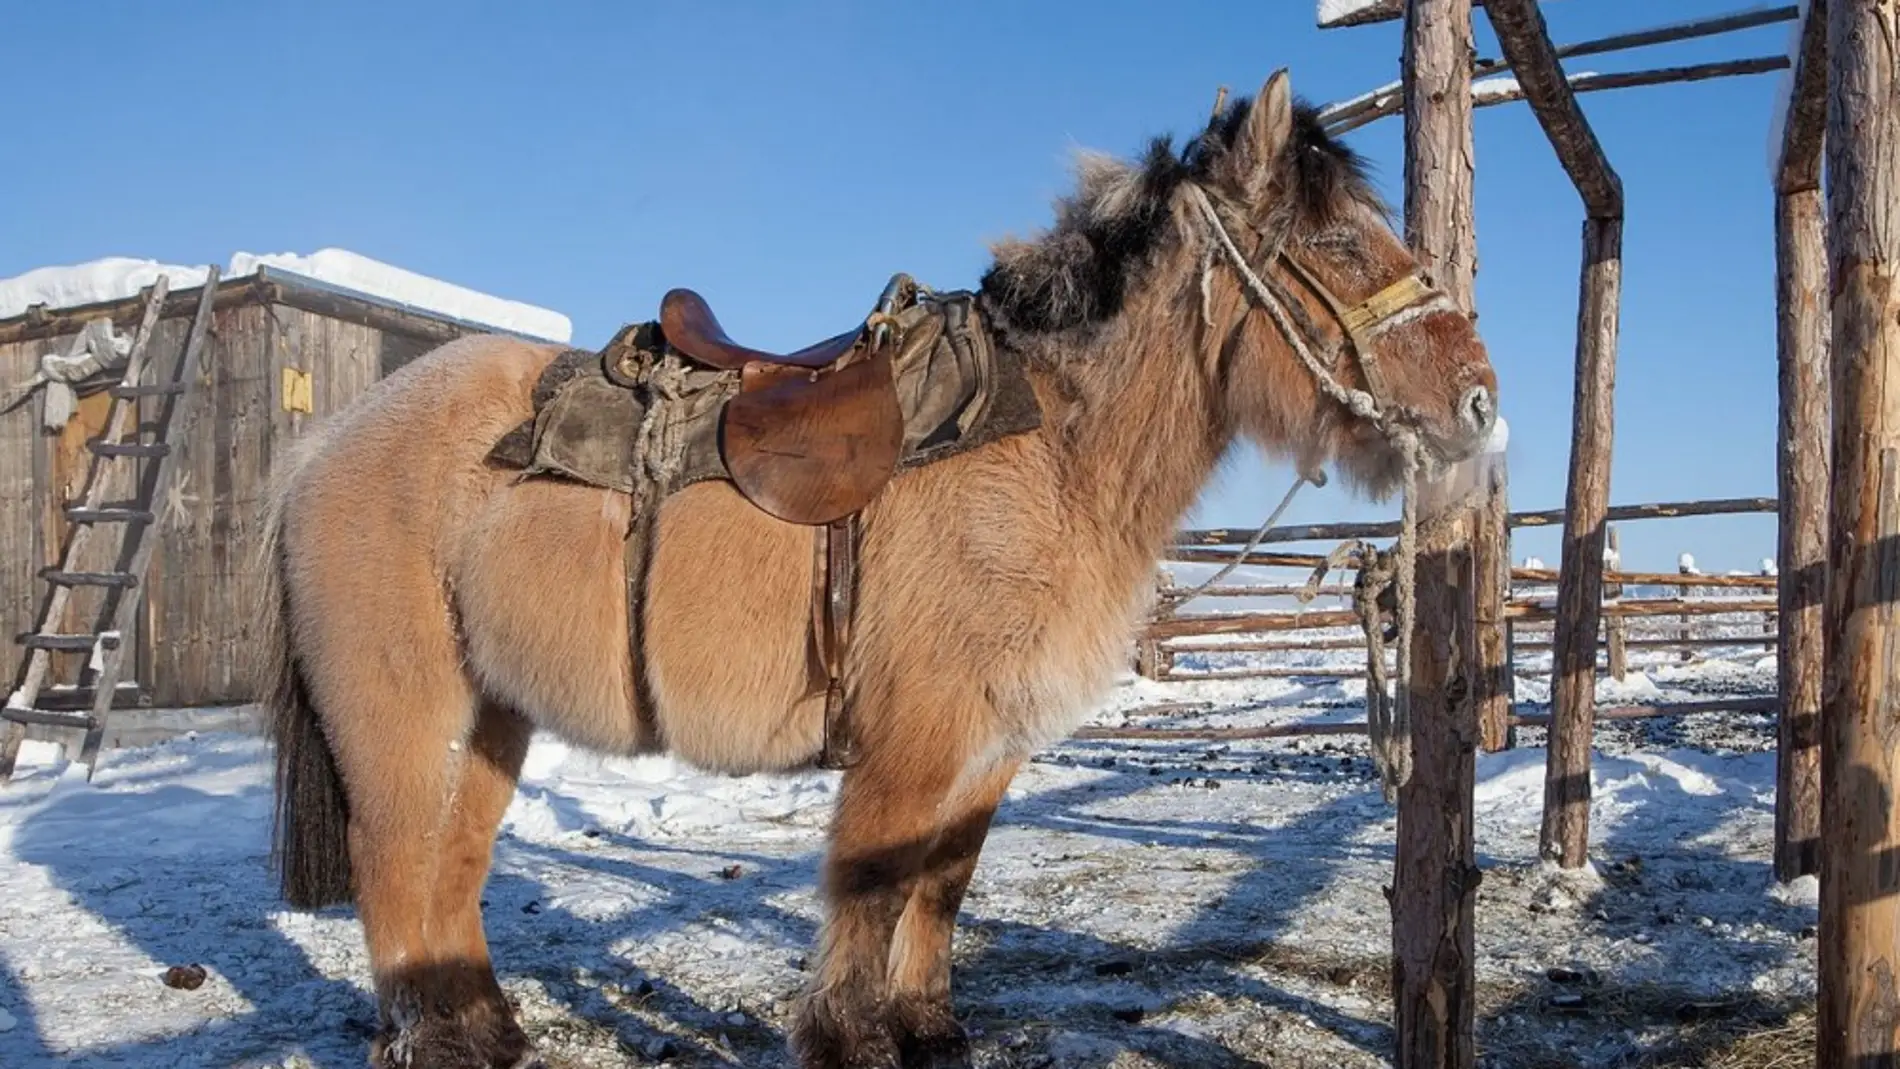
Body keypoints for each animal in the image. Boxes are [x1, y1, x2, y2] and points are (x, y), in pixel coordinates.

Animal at [256, 68, 1497, 1069]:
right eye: (1337, 245)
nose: (1479, 403)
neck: (1047, 450)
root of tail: (330, 441)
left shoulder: (991, 746)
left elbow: (941, 882)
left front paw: (926, 1025)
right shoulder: (913, 738)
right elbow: (872, 882)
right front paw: (851, 1036)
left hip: (494, 712)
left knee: (452, 862)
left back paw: (485, 1028)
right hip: (399, 709)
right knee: (393, 860)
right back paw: (430, 1036)